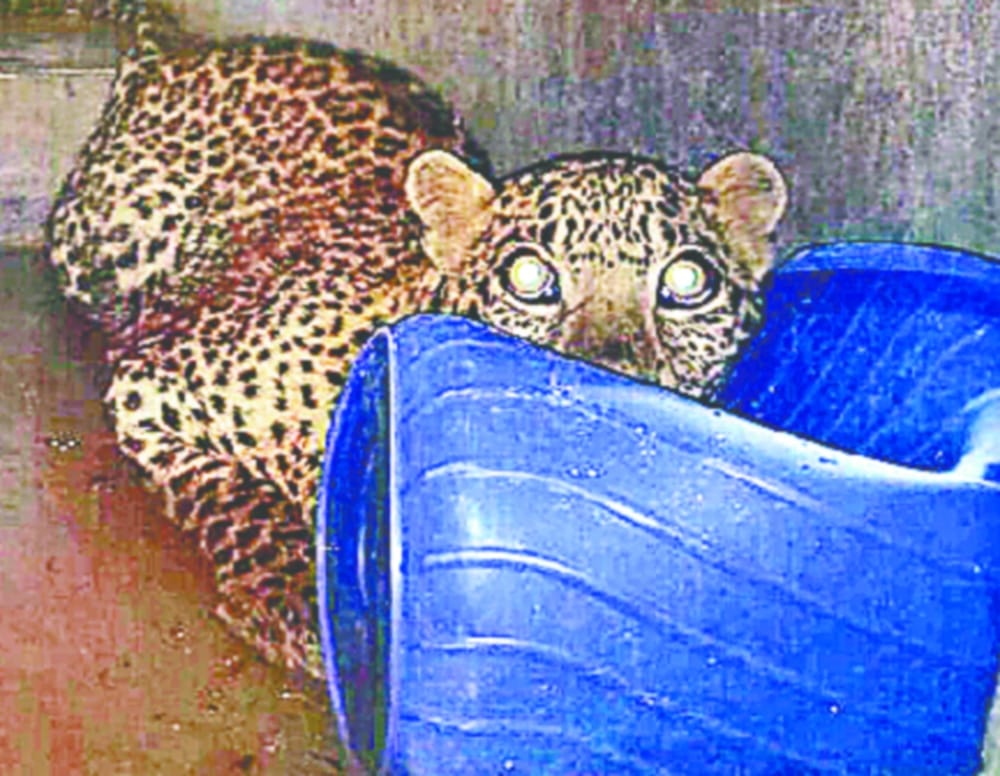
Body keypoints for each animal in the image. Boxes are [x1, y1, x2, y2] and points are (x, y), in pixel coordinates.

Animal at [45, 7, 788, 681]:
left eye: (688, 282)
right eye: (530, 277)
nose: (609, 382)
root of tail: (179, 50)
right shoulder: (150, 387)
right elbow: (230, 492)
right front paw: (291, 595)